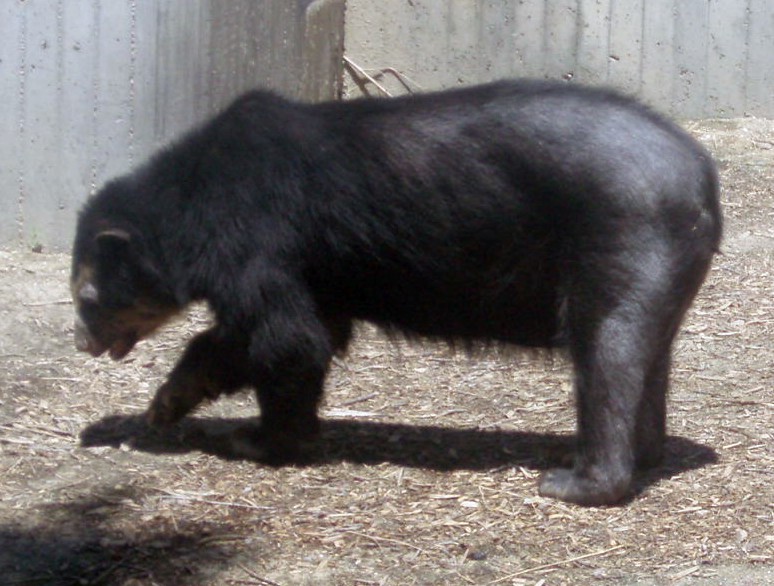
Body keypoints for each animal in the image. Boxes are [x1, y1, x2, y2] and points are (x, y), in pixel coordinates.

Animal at [71, 80, 722, 506]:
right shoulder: (316, 271)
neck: (192, 203)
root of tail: (700, 177)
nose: (80, 340)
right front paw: (165, 404)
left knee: (608, 346)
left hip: (623, 232)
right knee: (646, 350)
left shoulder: (255, 238)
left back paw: (577, 480)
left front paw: (257, 439)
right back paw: (647, 452)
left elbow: (287, 339)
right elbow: (281, 335)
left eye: (85, 294)